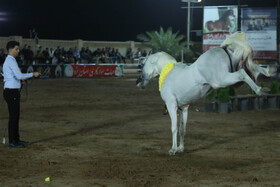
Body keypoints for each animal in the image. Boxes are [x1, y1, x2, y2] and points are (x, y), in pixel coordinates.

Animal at [137, 31, 276, 155]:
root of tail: (223, 48)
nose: (138, 83)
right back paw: (268, 75)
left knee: (242, 73)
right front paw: (181, 148)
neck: (168, 71)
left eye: (142, 64)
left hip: (220, 80)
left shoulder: (172, 105)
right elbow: (182, 129)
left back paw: (259, 90)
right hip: (236, 67)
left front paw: (173, 150)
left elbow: (174, 128)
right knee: (253, 69)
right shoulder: (184, 108)